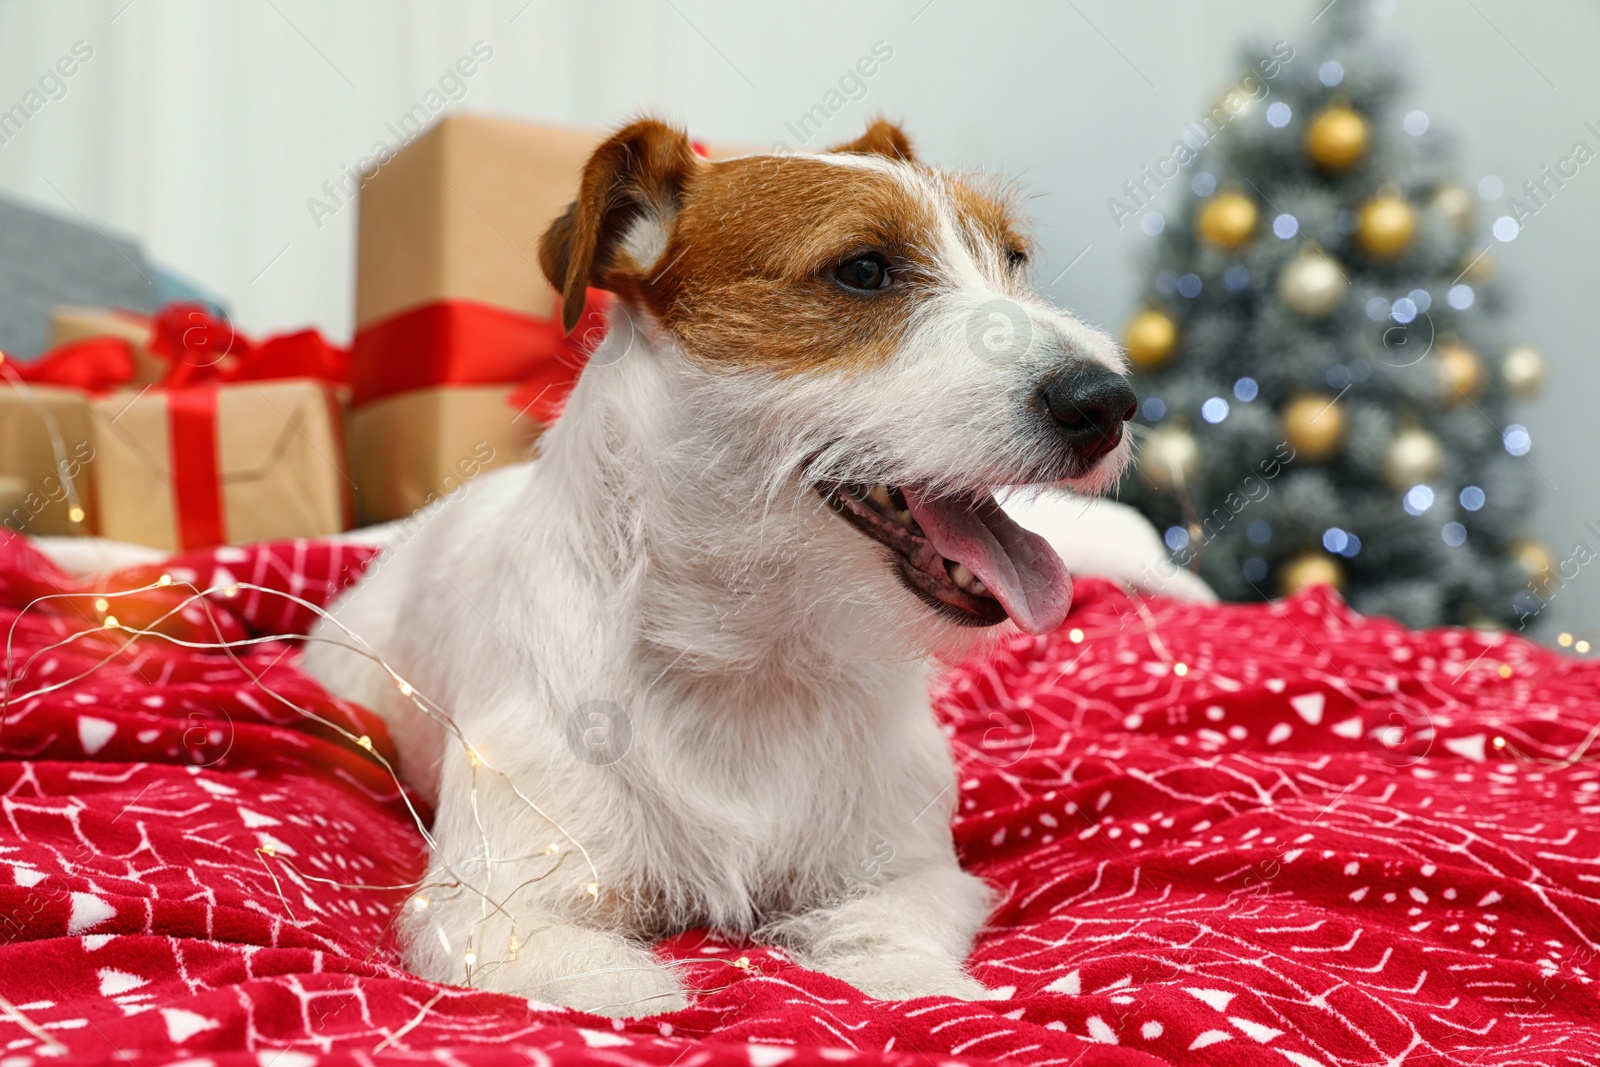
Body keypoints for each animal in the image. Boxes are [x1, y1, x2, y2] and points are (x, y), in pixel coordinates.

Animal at [302, 116, 1139, 1017]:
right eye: (864, 270)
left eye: (1012, 259)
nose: (1109, 401)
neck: (751, 656)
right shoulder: (493, 908)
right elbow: (615, 988)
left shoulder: (911, 870)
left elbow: (888, 935)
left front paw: (915, 986)